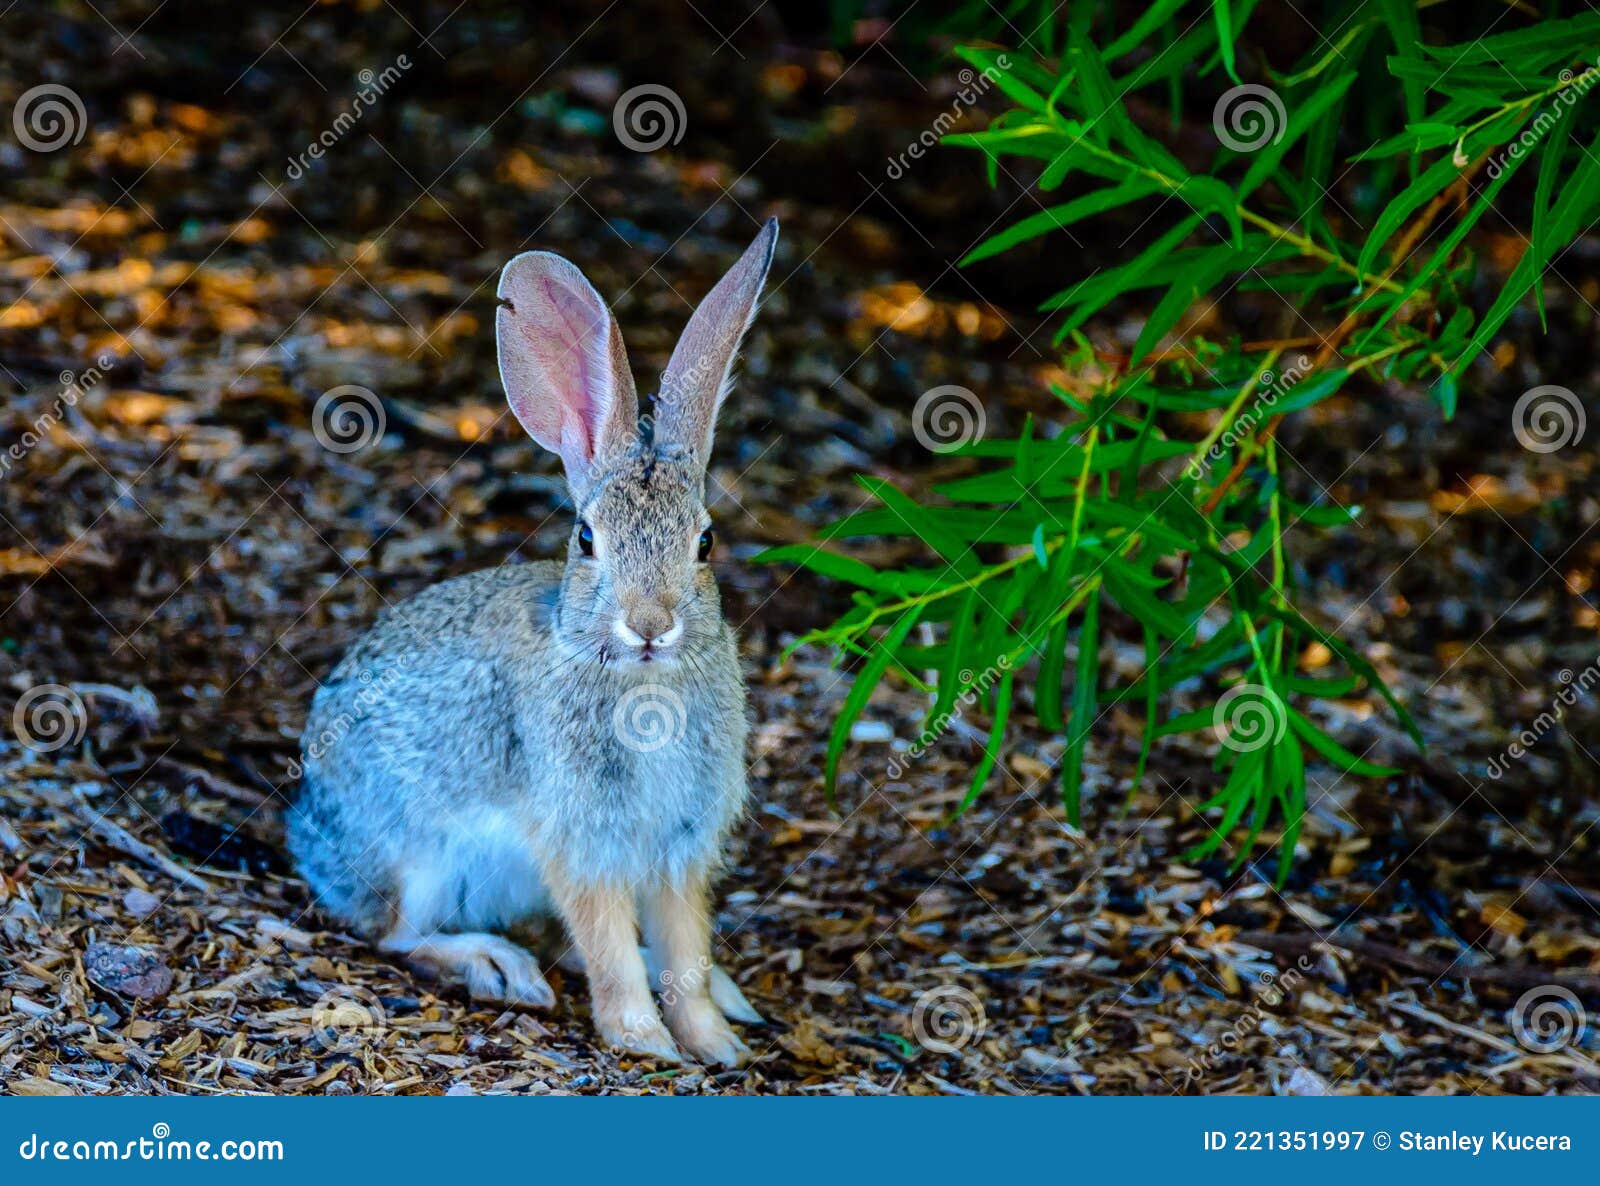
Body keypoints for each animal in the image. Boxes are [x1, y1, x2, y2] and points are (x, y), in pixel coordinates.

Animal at [297, 217, 784, 1069]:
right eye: (586, 539)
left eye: (707, 542)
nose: (649, 625)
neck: (637, 680)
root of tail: (311, 839)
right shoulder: (580, 841)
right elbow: (605, 946)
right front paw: (644, 1040)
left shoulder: (679, 848)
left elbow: (684, 948)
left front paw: (715, 1043)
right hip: (420, 859)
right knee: (398, 935)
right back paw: (495, 965)